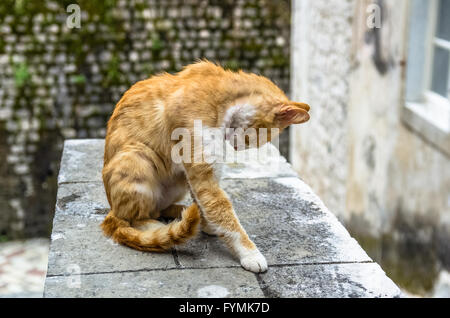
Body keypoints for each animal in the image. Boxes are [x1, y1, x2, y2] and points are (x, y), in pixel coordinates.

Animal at [100, 60, 310, 274]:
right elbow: (224, 213)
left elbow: (208, 205)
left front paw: (209, 224)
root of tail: (112, 209)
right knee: (136, 219)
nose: (236, 147)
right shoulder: (203, 174)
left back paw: (181, 213)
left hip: (177, 179)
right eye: (256, 138)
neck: (220, 97)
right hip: (138, 157)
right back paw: (160, 227)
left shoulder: (202, 173)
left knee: (157, 209)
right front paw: (250, 253)